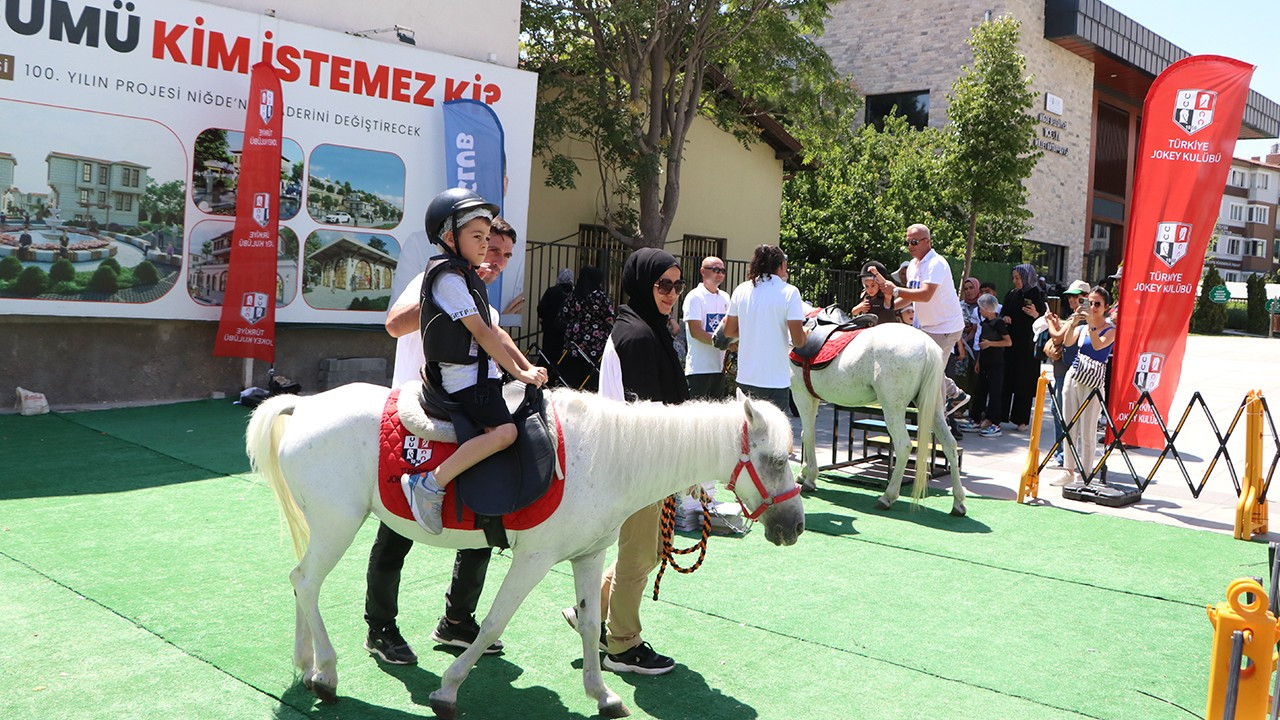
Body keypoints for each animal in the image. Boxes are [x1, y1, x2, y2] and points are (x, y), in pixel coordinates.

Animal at [245, 381, 803, 717]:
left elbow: (591, 622)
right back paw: (326, 673)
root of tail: (305, 403)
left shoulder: (589, 556)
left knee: (301, 582)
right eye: (775, 461)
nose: (795, 526)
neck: (610, 456)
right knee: (306, 583)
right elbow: (493, 621)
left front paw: (603, 694)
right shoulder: (533, 560)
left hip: (328, 526)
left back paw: (307, 665)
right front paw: (447, 689)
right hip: (338, 523)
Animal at [783, 325, 962, 515]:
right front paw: (804, 473)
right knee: (949, 444)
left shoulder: (802, 395)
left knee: (904, 446)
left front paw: (809, 478)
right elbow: (806, 434)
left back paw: (887, 497)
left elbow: (809, 435)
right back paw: (958, 502)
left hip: (893, 407)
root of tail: (928, 346)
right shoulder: (813, 397)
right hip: (933, 407)